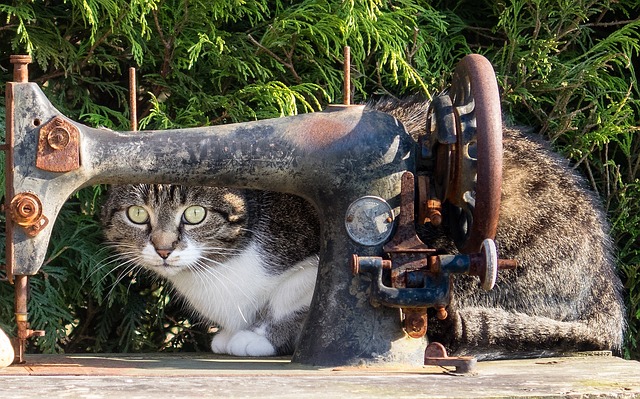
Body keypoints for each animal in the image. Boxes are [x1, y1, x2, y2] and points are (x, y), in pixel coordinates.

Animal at [101, 97, 624, 360]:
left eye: (194, 214)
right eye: (137, 215)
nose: (162, 248)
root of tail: (608, 290)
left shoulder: (317, 263)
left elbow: (297, 304)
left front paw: (260, 337)